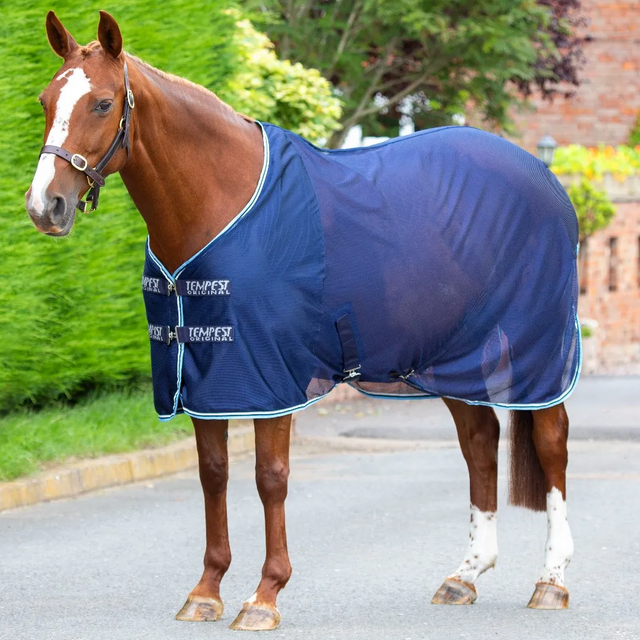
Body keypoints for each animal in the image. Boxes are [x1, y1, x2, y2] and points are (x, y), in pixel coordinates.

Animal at [25, 10, 576, 632]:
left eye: (101, 103)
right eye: (45, 99)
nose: (45, 206)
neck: (220, 200)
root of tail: (542, 174)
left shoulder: (269, 375)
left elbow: (270, 477)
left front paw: (265, 595)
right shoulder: (206, 373)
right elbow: (213, 472)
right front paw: (206, 590)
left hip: (536, 350)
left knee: (551, 442)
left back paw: (551, 581)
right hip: (452, 356)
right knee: (480, 441)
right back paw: (464, 575)